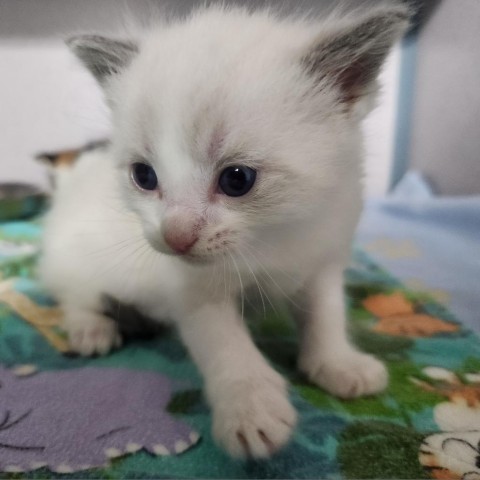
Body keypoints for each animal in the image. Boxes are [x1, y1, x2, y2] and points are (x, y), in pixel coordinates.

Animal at [40, 4, 408, 462]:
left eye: (237, 179)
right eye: (144, 176)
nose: (175, 236)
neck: (273, 239)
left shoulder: (323, 259)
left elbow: (326, 313)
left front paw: (337, 363)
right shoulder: (194, 289)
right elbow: (225, 344)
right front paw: (250, 408)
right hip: (78, 259)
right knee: (75, 293)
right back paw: (92, 330)